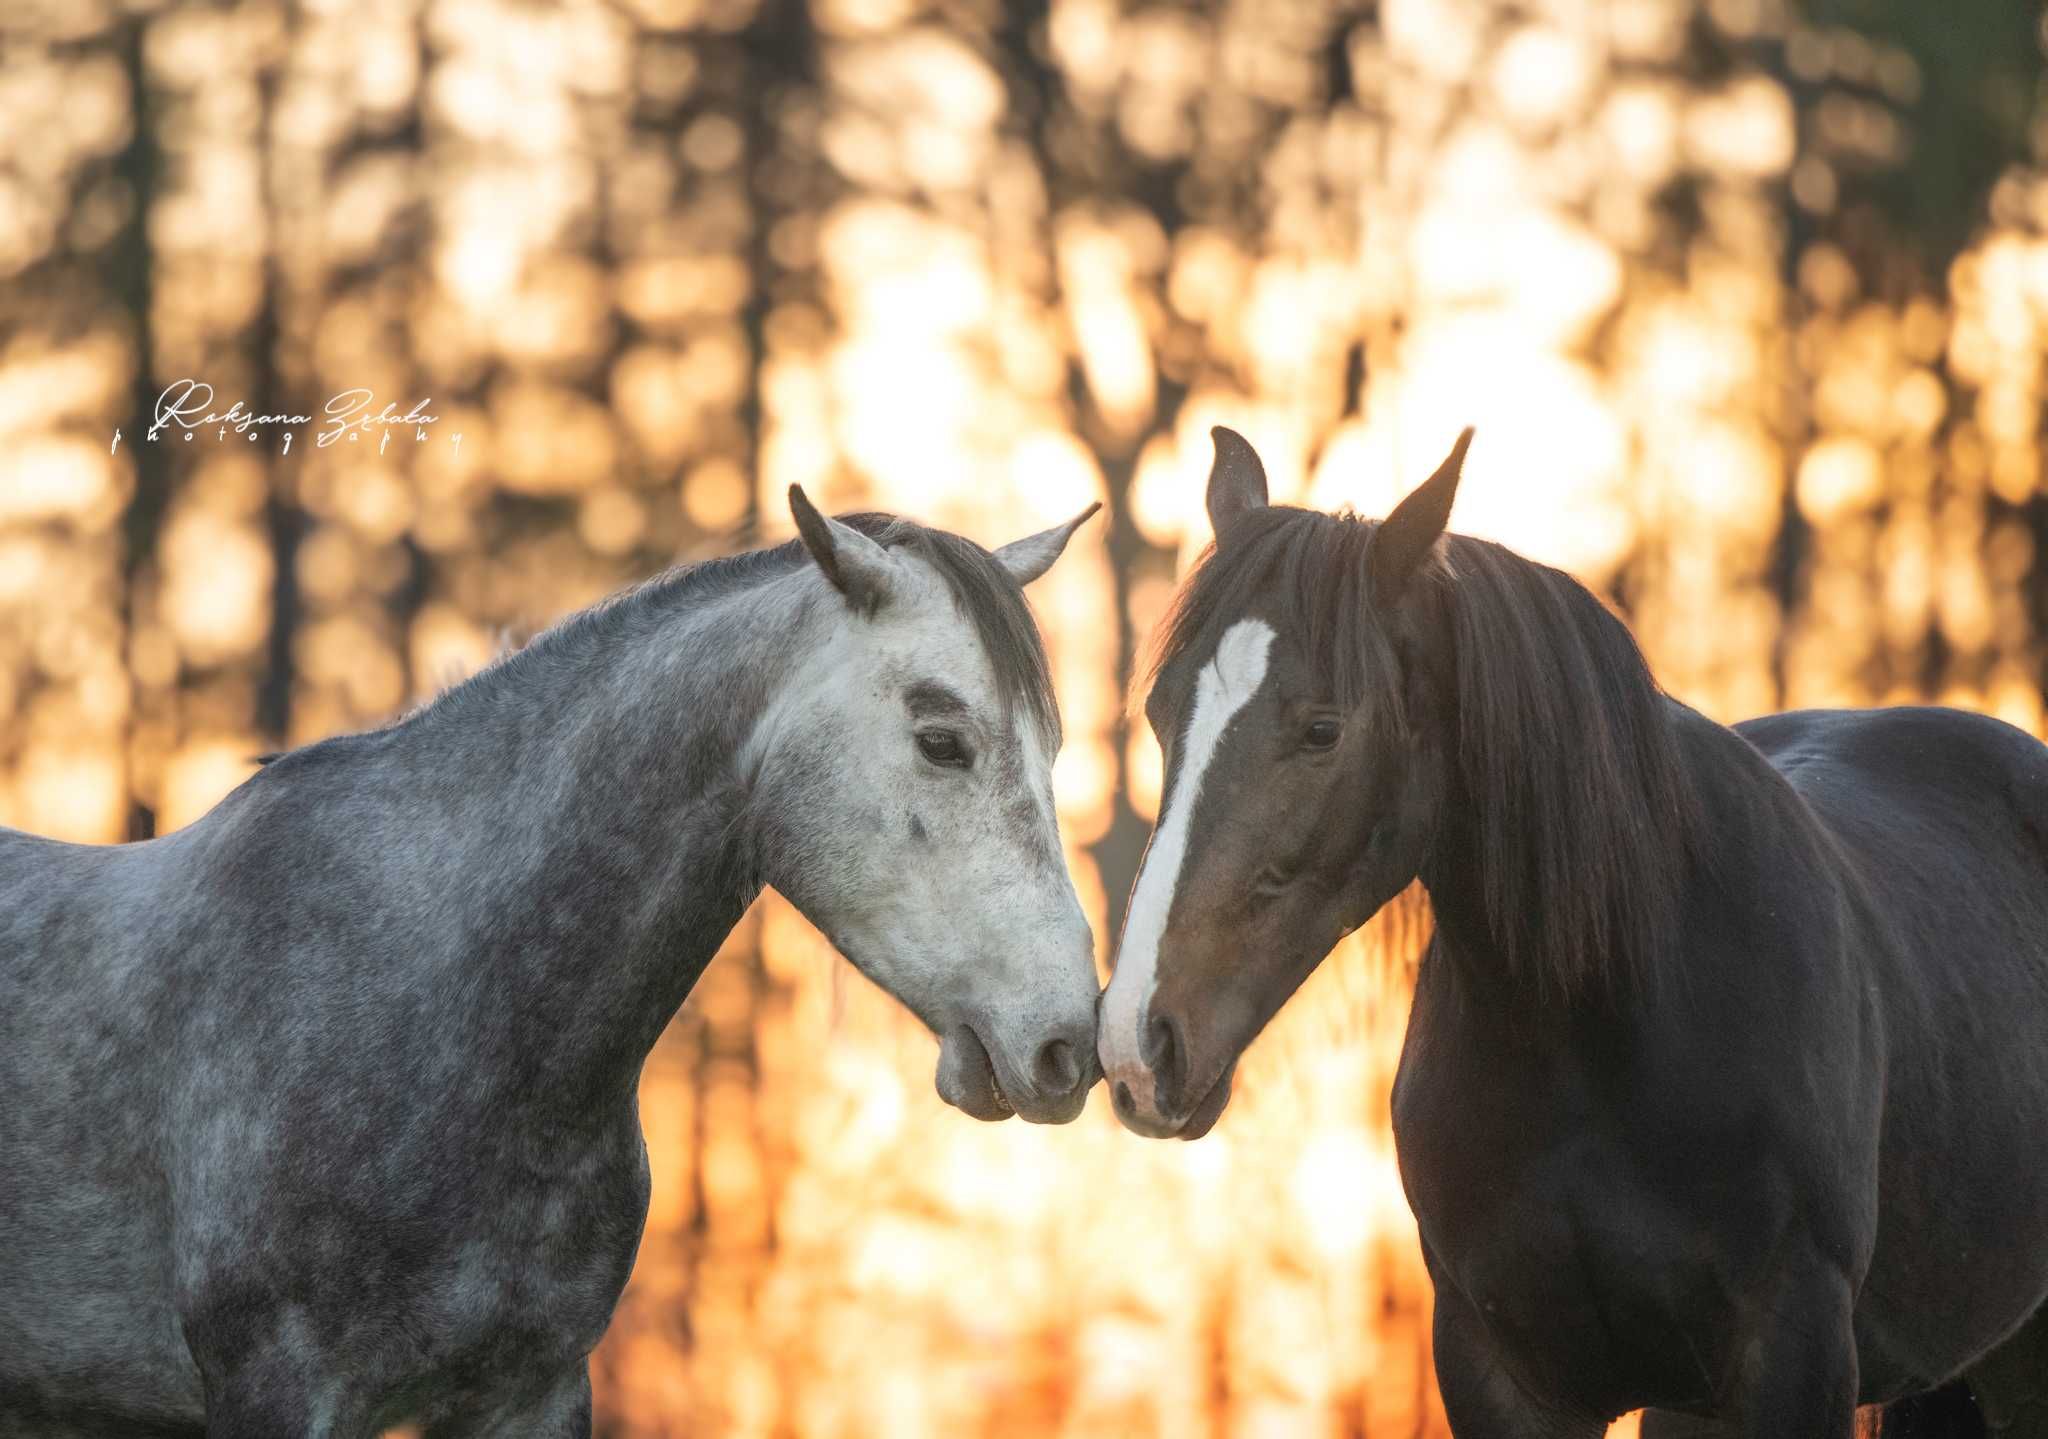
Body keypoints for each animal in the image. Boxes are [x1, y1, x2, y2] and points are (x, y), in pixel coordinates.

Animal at [1105, 427, 2048, 1439]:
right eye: (1162, 714)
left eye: (1323, 728)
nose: (1136, 1046)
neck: (1610, 1022)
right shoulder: (1504, 1375)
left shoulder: (1792, 1359)